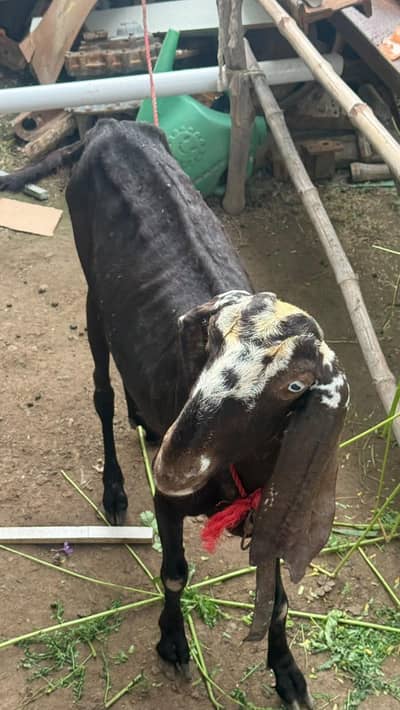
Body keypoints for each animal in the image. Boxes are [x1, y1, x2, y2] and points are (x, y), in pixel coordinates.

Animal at [0, 119, 349, 709]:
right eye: (209, 344)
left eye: (294, 386)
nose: (175, 464)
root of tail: (109, 125)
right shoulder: (168, 503)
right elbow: (175, 575)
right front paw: (173, 643)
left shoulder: (276, 498)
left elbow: (279, 599)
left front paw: (288, 673)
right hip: (94, 299)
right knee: (101, 393)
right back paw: (115, 488)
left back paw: (143, 420)